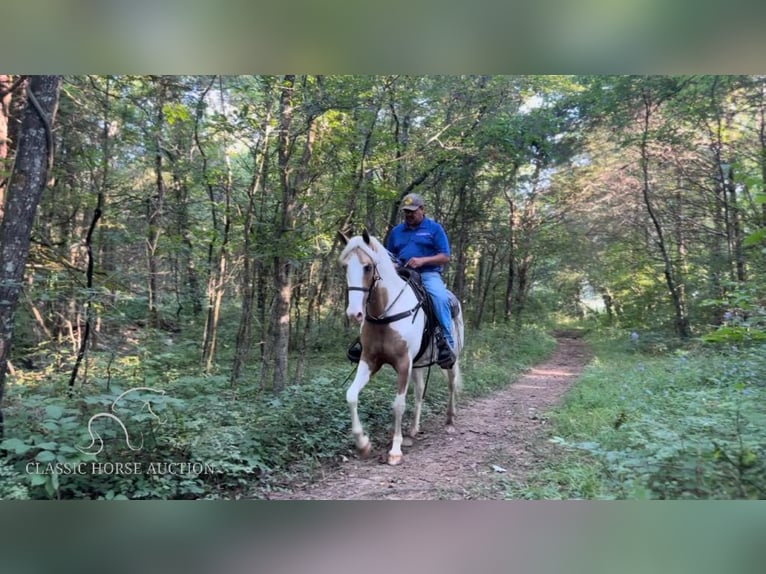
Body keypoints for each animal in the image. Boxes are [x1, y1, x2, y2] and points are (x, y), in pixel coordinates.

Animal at [340, 230, 462, 468]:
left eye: (367, 267)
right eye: (345, 266)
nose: (354, 313)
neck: (385, 314)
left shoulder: (404, 363)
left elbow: (398, 405)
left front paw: (395, 451)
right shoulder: (369, 361)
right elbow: (351, 395)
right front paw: (363, 443)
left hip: (451, 359)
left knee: (451, 384)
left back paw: (450, 421)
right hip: (419, 363)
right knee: (419, 391)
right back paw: (413, 429)